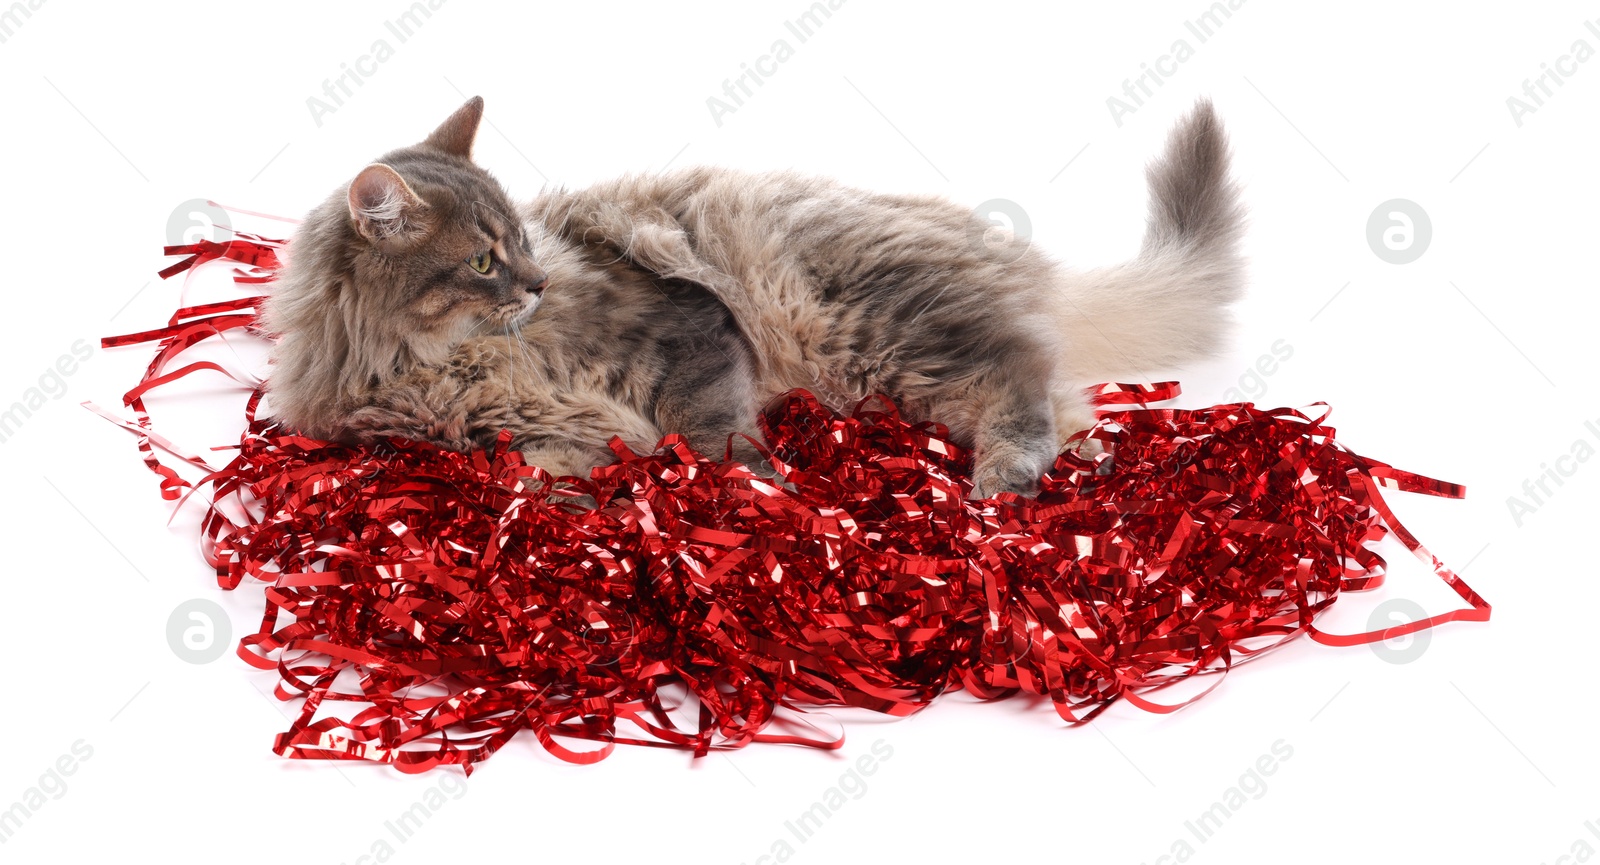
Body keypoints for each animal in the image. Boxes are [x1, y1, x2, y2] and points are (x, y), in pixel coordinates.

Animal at [262, 94, 1241, 498]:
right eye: (479, 262)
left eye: (522, 242)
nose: (536, 283)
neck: (440, 358)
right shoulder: (500, 431)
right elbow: (544, 469)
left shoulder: (689, 329)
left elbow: (711, 432)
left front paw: (755, 496)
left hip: (856, 325)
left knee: (1019, 374)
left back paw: (1006, 476)